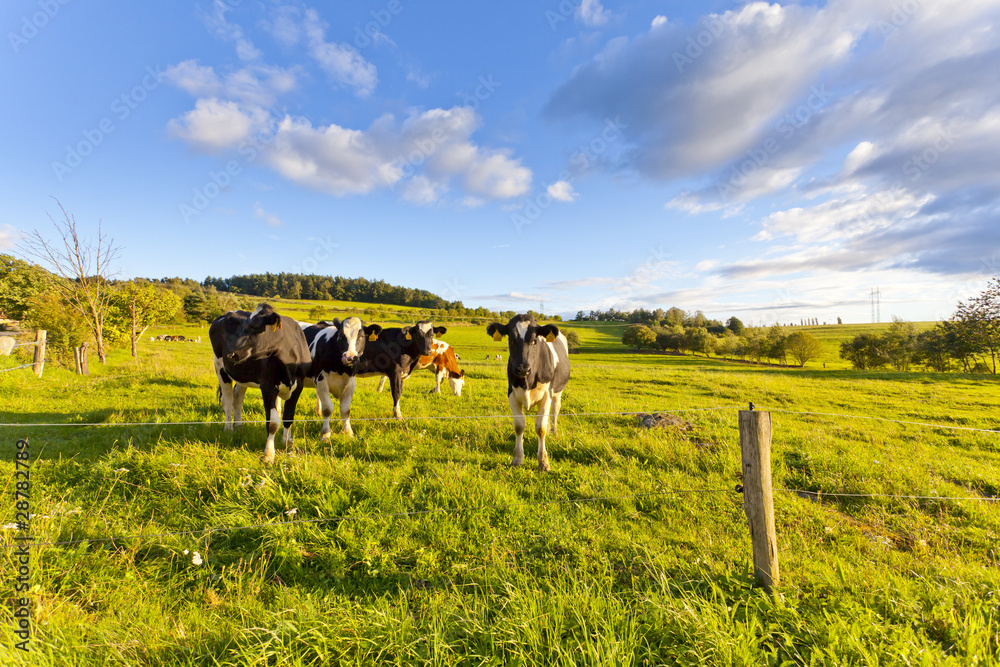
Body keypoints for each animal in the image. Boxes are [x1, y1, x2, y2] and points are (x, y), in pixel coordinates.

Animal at [213, 304, 314, 464]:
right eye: (244, 325)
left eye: (255, 326)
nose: (231, 355)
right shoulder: (268, 386)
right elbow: (272, 423)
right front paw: (268, 454)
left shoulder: (299, 385)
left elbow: (288, 417)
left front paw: (287, 443)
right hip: (220, 369)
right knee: (227, 401)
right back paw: (229, 429)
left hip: (243, 376)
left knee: (237, 400)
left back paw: (239, 426)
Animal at [486, 316, 572, 472]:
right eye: (511, 339)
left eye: (534, 340)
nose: (522, 369)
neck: (527, 381)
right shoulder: (512, 395)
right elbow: (519, 426)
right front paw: (517, 459)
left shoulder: (546, 395)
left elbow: (540, 428)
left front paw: (543, 462)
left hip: (557, 391)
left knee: (555, 410)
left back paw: (554, 432)